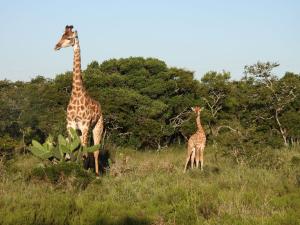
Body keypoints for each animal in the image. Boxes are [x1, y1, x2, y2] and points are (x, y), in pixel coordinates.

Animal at [54, 25, 103, 176]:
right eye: (61, 35)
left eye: (70, 38)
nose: (56, 46)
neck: (76, 94)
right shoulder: (70, 125)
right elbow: (70, 150)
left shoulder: (85, 125)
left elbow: (84, 152)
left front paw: (84, 173)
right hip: (82, 131)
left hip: (97, 126)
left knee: (95, 151)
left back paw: (96, 174)